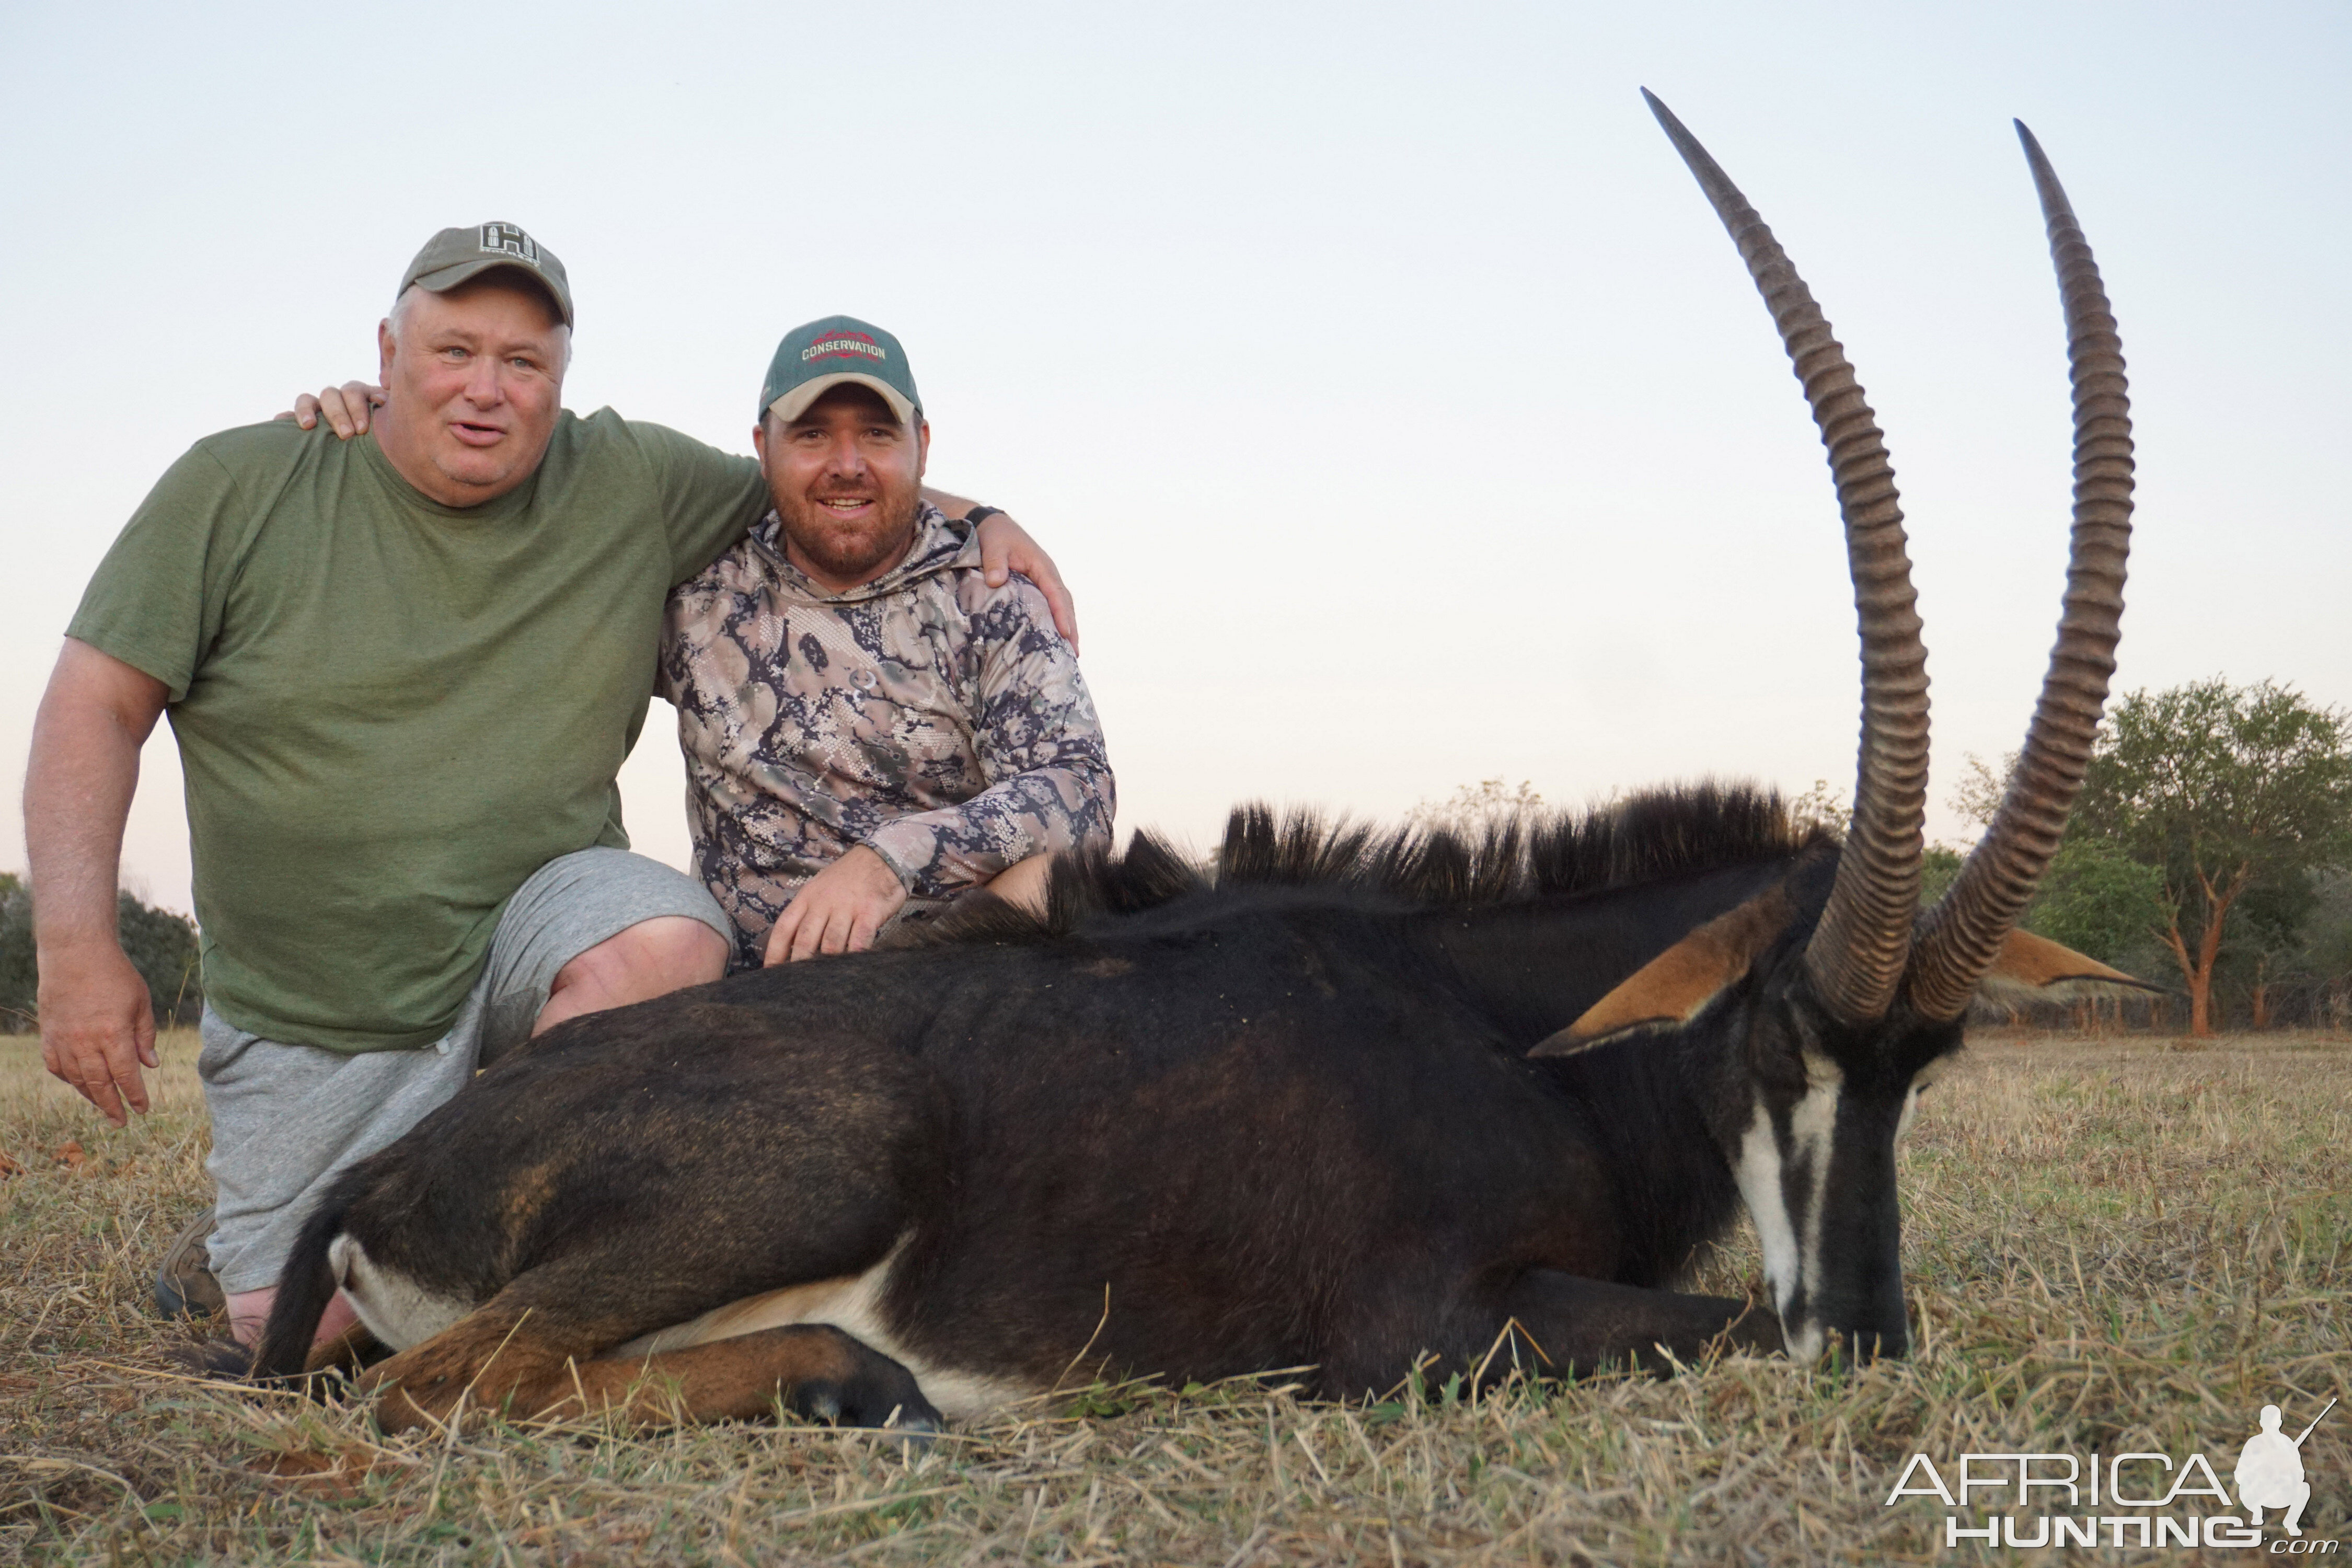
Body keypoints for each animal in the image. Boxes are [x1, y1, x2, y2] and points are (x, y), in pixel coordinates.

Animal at [257, 92, 2154, 1429]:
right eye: (1771, 1037)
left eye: (1932, 1065)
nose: (1869, 1336)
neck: (1502, 1025)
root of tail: (380, 1172)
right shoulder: (1429, 1329)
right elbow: (1727, 1321)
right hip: (820, 1161)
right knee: (438, 1394)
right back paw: (865, 1379)